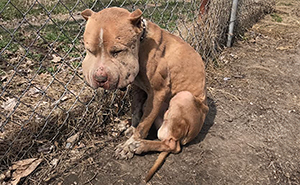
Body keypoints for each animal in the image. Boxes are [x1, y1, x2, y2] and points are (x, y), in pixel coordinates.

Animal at [81, 7, 209, 182]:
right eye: (90, 51)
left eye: (117, 51)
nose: (100, 79)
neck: (140, 43)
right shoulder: (137, 88)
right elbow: (136, 112)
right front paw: (131, 127)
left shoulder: (157, 94)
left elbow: (143, 125)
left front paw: (128, 145)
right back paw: (126, 125)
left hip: (184, 97)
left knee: (172, 145)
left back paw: (141, 145)